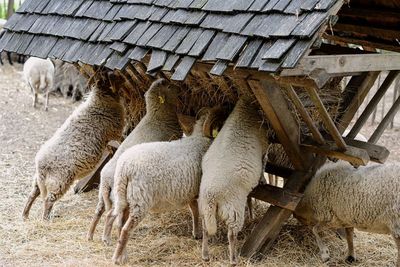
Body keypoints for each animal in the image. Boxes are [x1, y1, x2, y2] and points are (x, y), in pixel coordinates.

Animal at [21, 74, 124, 221]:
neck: (100, 101)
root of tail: (41, 164)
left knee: (32, 194)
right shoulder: (114, 132)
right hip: (60, 181)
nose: (123, 79)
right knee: (48, 200)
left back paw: (25, 215)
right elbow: (120, 139)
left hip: (39, 180)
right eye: (112, 77)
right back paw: (45, 219)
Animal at [87, 78, 183, 244]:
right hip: (118, 197)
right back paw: (107, 237)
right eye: (170, 86)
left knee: (98, 211)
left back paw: (91, 235)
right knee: (113, 214)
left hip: (102, 196)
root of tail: (105, 179)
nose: (181, 90)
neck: (157, 116)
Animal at [108, 109, 223, 266]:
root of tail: (124, 168)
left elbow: (194, 211)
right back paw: (116, 259)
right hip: (140, 201)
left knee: (120, 225)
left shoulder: (190, 191)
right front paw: (205, 250)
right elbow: (202, 217)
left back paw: (123, 255)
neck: (199, 139)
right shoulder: (201, 191)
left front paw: (196, 233)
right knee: (126, 229)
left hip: (126, 198)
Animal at [198, 96, 270, 266]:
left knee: (205, 229)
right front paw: (262, 180)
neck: (243, 110)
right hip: (233, 209)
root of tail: (211, 195)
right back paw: (234, 259)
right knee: (231, 234)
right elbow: (264, 161)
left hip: (204, 208)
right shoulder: (264, 145)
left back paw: (205, 255)